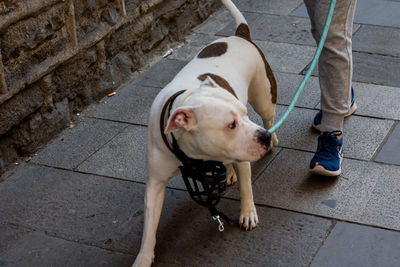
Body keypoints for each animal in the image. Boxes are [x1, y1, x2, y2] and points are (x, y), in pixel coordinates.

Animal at [133, 1, 276, 266]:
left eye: (244, 115)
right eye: (231, 124)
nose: (262, 136)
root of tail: (239, 35)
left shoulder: (243, 151)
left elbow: (246, 187)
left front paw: (248, 213)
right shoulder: (155, 182)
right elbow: (149, 225)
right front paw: (144, 257)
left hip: (263, 96)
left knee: (269, 115)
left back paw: (273, 137)